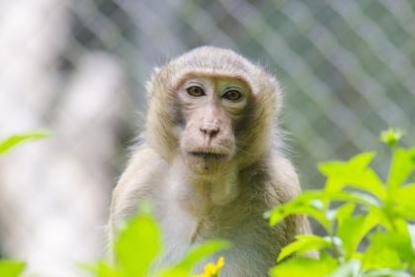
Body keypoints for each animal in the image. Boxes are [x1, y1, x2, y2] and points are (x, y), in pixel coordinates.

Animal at [109, 46, 314, 274]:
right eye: (195, 91)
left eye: (232, 95)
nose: (209, 128)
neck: (202, 198)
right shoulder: (136, 187)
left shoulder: (281, 189)